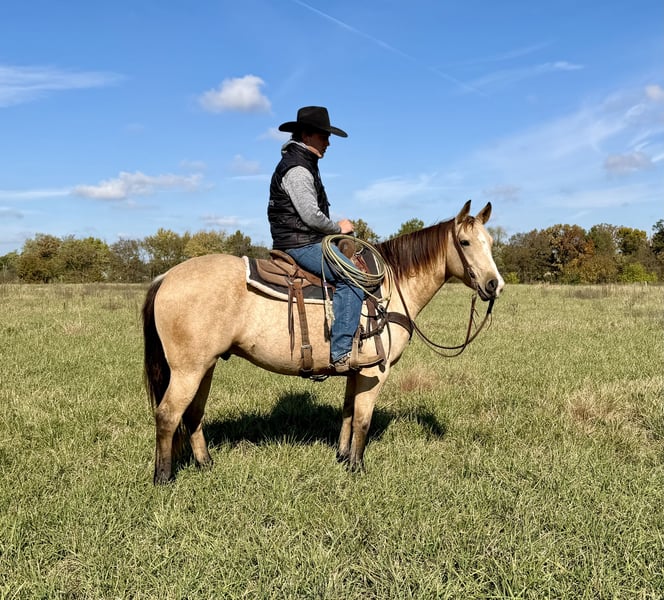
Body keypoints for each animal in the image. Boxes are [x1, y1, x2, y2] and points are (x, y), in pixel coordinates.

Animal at [142, 200, 504, 484]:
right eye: (465, 242)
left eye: (489, 241)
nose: (494, 285)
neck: (389, 287)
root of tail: (165, 277)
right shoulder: (376, 372)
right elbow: (363, 419)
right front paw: (358, 468)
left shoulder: (357, 371)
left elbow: (347, 413)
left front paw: (343, 457)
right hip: (188, 369)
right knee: (168, 415)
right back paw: (164, 477)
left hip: (206, 366)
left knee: (193, 414)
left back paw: (206, 464)